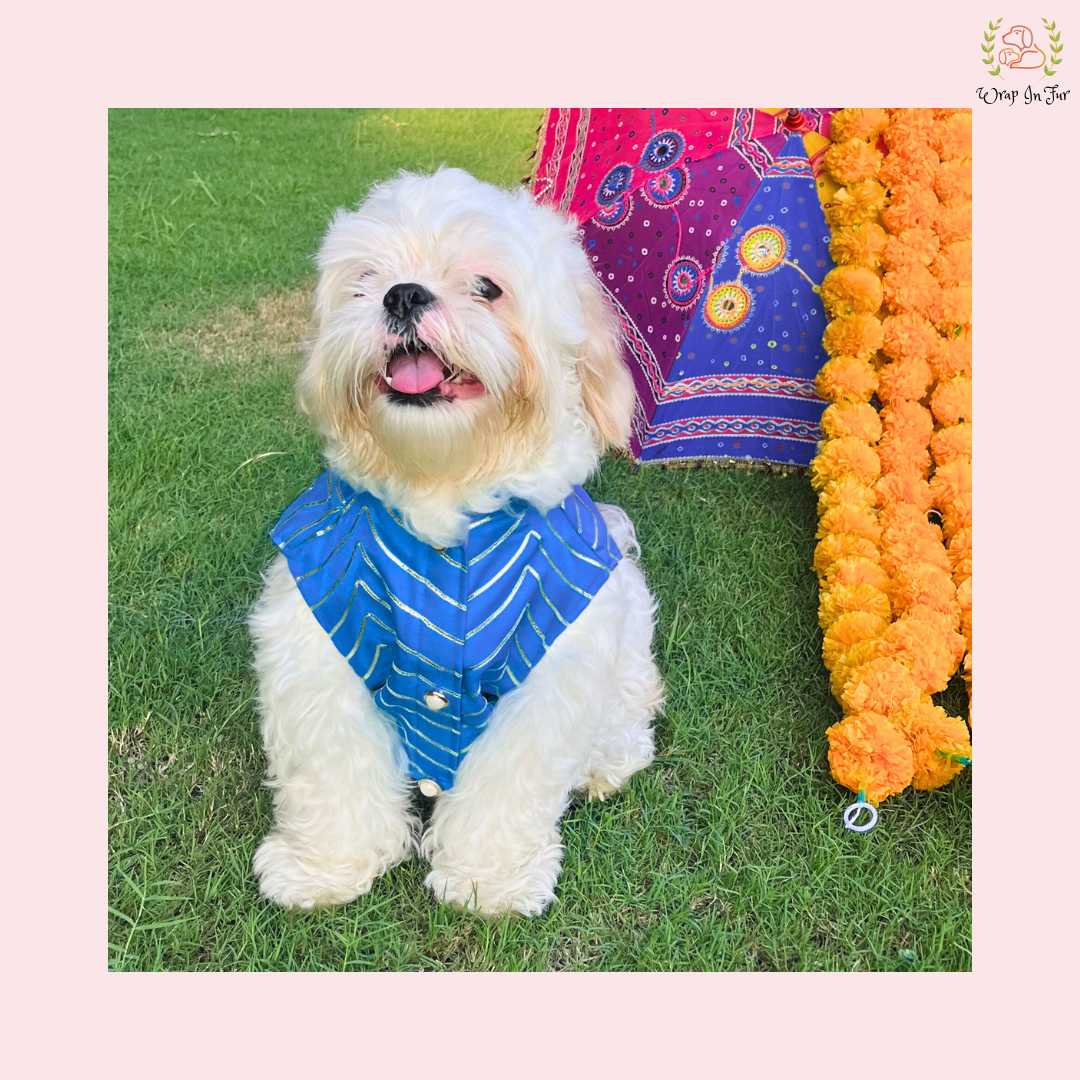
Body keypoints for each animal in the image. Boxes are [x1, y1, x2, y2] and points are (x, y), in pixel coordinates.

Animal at [248, 168, 660, 911]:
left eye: (488, 287)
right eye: (366, 280)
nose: (403, 293)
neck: (443, 490)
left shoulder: (549, 667)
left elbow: (508, 784)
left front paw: (486, 878)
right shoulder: (319, 633)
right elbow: (333, 769)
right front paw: (324, 867)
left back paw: (605, 760)